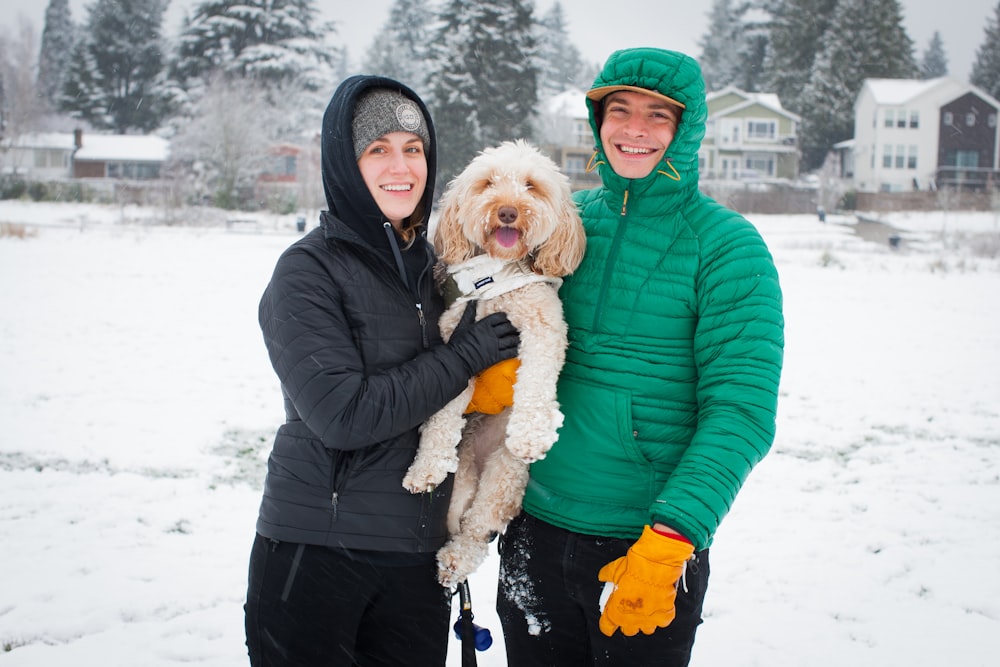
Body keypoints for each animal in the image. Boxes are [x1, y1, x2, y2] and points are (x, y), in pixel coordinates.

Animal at [400, 138, 584, 588]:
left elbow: (536, 382)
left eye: (531, 186)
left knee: (480, 524)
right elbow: (443, 411)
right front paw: (426, 467)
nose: (507, 211)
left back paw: (457, 558)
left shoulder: (543, 330)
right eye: (487, 183)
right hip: (461, 484)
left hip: (506, 477)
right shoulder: (457, 342)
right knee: (462, 522)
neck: (496, 282)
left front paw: (532, 435)